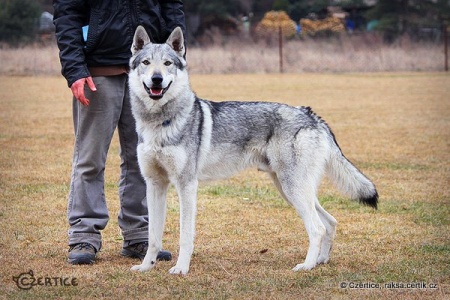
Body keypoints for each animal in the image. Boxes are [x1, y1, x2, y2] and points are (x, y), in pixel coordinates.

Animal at [128, 27, 378, 276]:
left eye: (167, 63)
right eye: (147, 62)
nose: (156, 79)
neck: (159, 123)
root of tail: (311, 115)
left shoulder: (187, 185)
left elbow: (185, 235)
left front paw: (181, 268)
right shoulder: (155, 184)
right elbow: (153, 236)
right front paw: (146, 266)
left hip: (293, 189)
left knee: (317, 228)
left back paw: (306, 265)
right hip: (292, 191)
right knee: (330, 222)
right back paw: (320, 261)